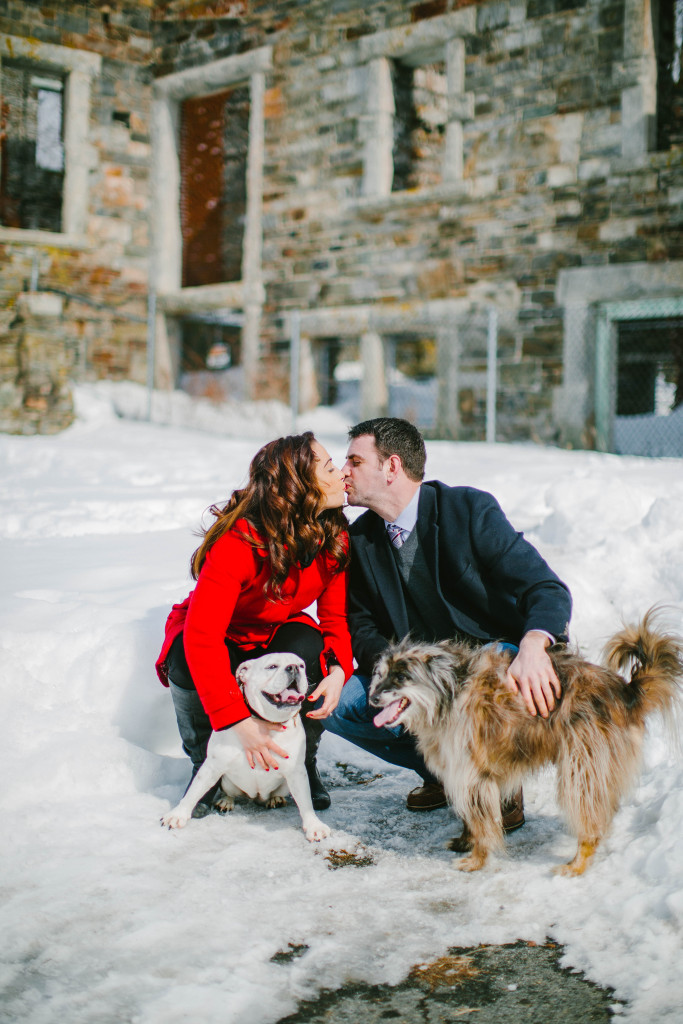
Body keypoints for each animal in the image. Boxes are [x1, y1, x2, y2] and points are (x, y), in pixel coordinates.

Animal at [370, 610, 679, 876]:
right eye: (380, 674)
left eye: (401, 677)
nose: (372, 697)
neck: (449, 692)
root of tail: (625, 691)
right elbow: (470, 815)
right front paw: (465, 840)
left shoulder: (472, 773)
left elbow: (481, 821)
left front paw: (477, 857)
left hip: (582, 766)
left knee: (588, 812)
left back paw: (579, 862)